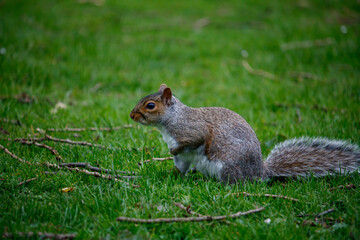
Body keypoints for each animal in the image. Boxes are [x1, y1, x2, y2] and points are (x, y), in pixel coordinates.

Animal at [130, 84, 360, 184]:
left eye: (150, 106)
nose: (132, 115)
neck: (171, 119)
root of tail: (260, 172)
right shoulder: (183, 159)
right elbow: (180, 165)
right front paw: (170, 173)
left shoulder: (192, 130)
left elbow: (195, 140)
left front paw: (173, 149)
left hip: (228, 165)